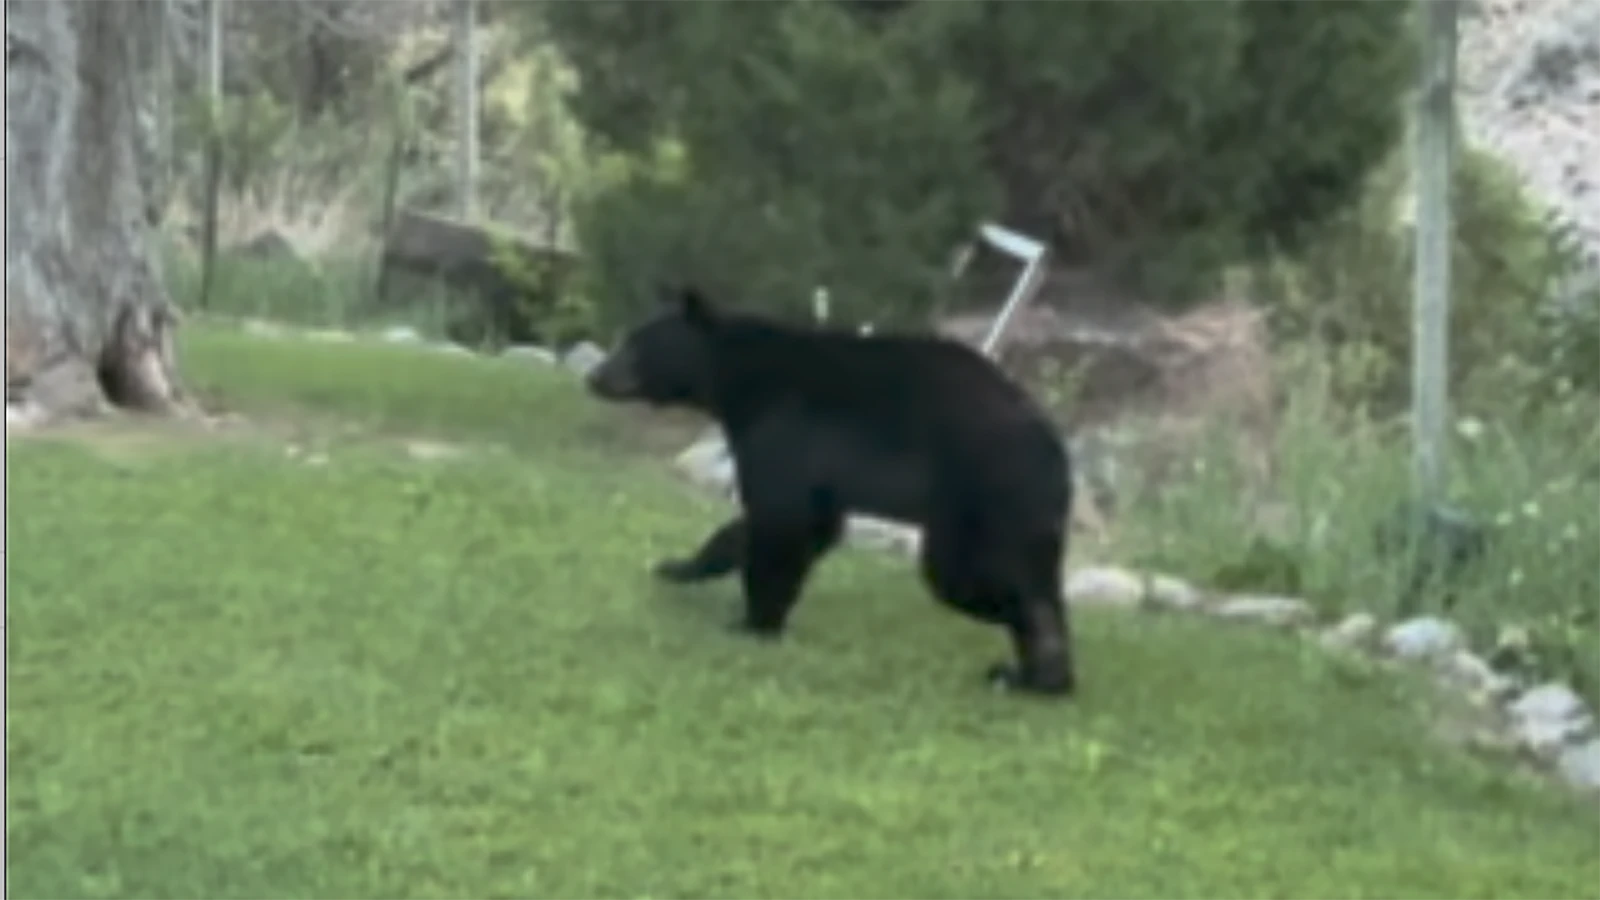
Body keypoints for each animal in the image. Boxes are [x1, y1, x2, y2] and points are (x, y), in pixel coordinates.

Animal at [585, 284, 1076, 696]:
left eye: (636, 343)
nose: (594, 376)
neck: (738, 380)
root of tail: (1057, 454)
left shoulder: (786, 425)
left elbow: (779, 522)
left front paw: (754, 624)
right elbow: (793, 525)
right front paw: (679, 566)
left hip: (981, 499)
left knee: (972, 579)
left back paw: (1030, 653)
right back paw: (1039, 675)